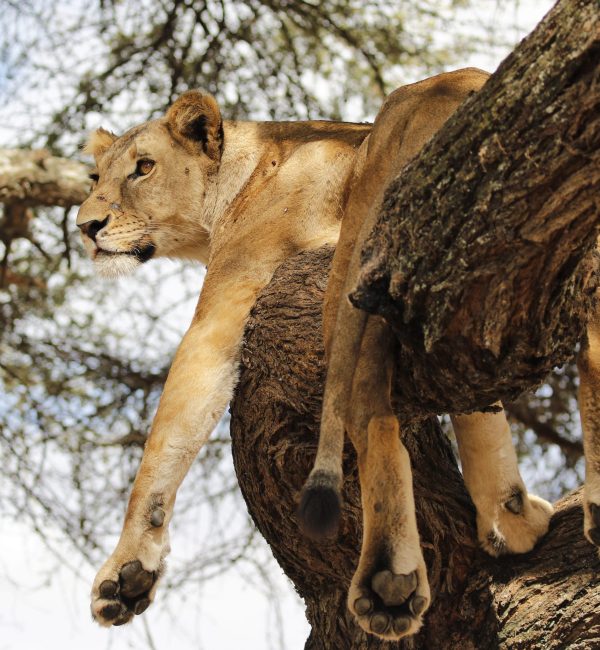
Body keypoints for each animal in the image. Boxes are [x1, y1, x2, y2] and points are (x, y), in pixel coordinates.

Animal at [76, 68, 599, 641]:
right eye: (94, 178)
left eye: (144, 167)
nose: (85, 226)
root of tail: (458, 84)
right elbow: (479, 411)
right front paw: (509, 517)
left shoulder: (228, 299)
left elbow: (168, 434)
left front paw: (125, 565)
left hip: (349, 268)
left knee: (372, 414)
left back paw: (389, 578)